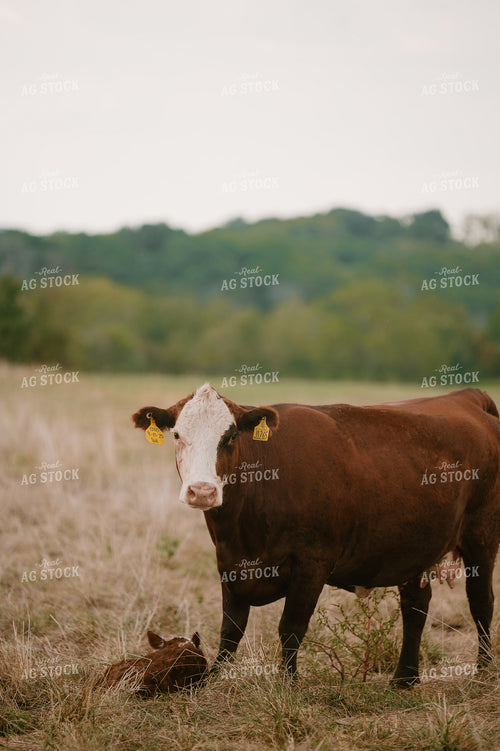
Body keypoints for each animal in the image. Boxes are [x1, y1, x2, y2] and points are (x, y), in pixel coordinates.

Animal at [132, 385, 500, 687]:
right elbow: (230, 629)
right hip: (414, 549)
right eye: (177, 435)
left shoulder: (312, 562)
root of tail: (467, 397)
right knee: (415, 608)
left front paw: (288, 684)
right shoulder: (230, 563)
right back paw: (404, 679)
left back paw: (482, 671)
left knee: (481, 602)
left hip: (482, 537)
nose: (202, 491)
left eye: (232, 435)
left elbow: (291, 627)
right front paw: (212, 680)